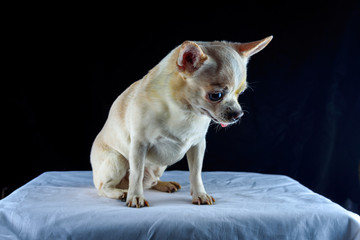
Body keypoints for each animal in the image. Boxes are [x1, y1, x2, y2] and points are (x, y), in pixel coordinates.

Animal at [90, 36, 272, 207]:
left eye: (240, 93)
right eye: (216, 96)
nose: (238, 114)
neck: (185, 112)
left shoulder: (198, 145)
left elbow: (195, 173)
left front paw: (200, 194)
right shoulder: (138, 146)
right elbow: (136, 173)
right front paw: (135, 197)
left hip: (158, 168)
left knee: (150, 181)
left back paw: (164, 184)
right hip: (118, 160)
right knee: (104, 187)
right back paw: (121, 193)